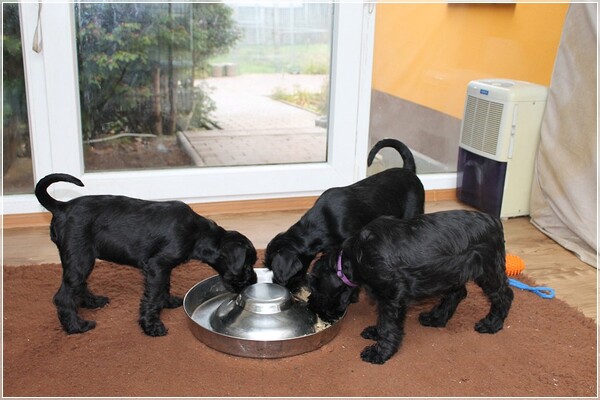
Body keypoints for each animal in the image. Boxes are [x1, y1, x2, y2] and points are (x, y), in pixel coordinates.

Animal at [35, 173, 257, 337]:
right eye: (247, 265)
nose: (254, 281)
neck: (197, 234)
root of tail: (62, 207)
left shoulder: (163, 268)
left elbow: (164, 287)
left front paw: (168, 302)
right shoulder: (157, 266)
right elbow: (153, 296)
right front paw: (152, 326)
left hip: (81, 259)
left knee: (77, 285)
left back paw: (93, 302)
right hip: (81, 258)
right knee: (63, 296)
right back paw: (76, 326)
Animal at [307, 210, 514, 364]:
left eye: (315, 290)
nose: (312, 308)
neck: (355, 257)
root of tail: (495, 221)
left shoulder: (392, 294)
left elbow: (389, 325)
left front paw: (380, 352)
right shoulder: (385, 297)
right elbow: (382, 320)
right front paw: (375, 332)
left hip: (487, 269)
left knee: (504, 295)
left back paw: (491, 324)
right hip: (450, 271)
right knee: (458, 293)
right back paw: (435, 318)